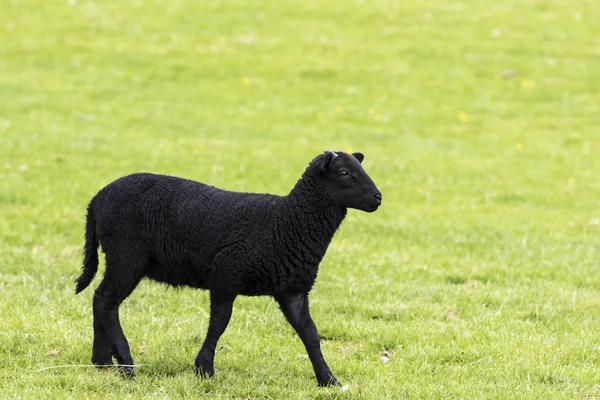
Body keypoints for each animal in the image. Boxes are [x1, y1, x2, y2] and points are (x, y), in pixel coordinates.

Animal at [75, 150, 382, 388]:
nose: (378, 198)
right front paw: (204, 369)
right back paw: (125, 364)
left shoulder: (292, 291)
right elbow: (219, 324)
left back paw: (102, 361)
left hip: (122, 258)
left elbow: (311, 334)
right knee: (107, 302)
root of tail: (97, 199)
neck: (284, 223)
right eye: (344, 173)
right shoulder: (224, 279)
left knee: (100, 300)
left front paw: (329, 380)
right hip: (126, 256)